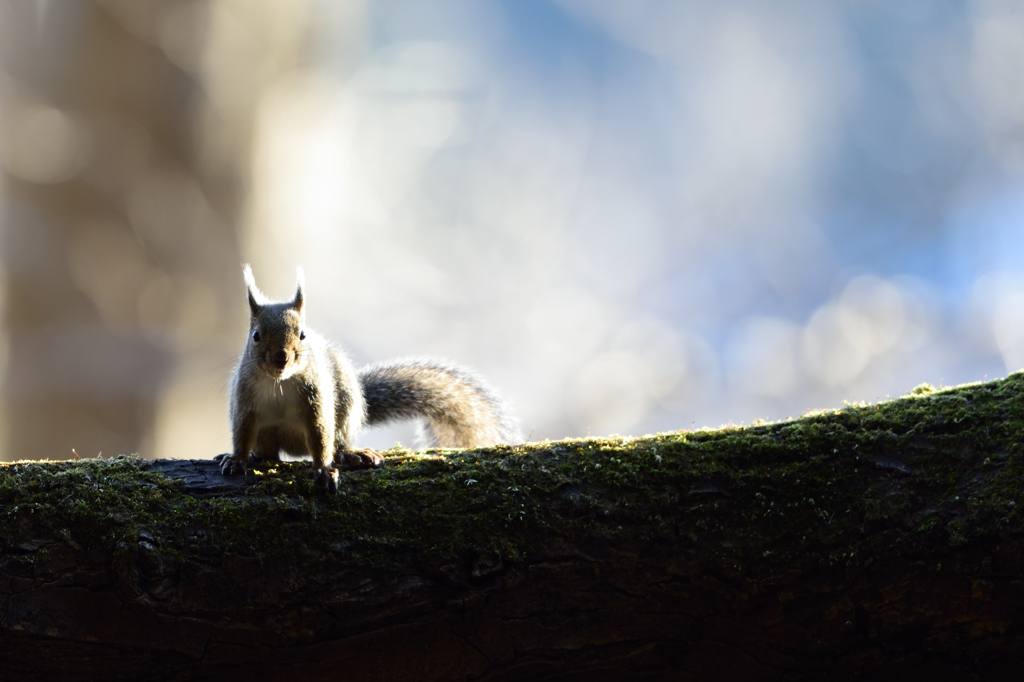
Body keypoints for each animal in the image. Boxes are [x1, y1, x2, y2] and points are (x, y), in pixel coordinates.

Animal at [216, 264, 520, 489]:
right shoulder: (245, 400)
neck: (279, 382)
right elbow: (242, 432)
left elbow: (321, 435)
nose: (281, 358)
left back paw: (351, 453)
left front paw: (324, 470)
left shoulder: (316, 400)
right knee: (266, 453)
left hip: (347, 404)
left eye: (302, 334)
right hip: (268, 435)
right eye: (256, 336)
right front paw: (237, 459)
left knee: (338, 440)